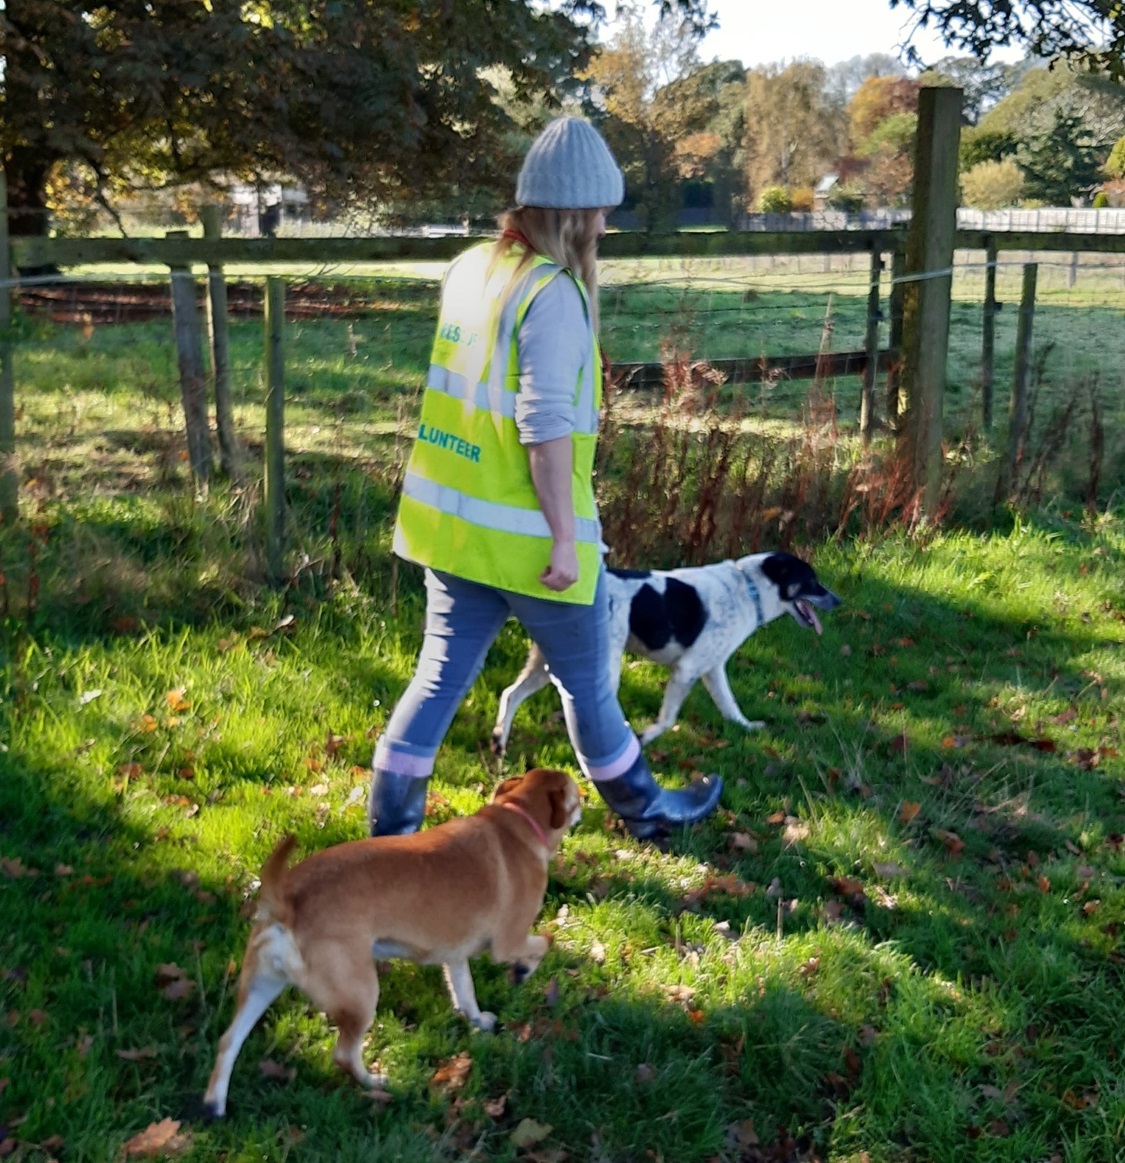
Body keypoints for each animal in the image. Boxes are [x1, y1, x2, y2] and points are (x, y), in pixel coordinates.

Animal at [203, 767, 584, 1111]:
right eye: (576, 795)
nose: (586, 799)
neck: (519, 818)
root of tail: (287, 902)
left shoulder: (455, 955)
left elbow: (465, 991)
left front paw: (477, 1019)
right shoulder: (508, 941)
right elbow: (544, 941)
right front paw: (524, 970)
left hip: (260, 986)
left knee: (228, 1041)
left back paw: (213, 1104)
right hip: (360, 994)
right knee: (343, 1055)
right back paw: (374, 1082)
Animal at [495, 553, 846, 753]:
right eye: (811, 581)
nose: (838, 601)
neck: (749, 590)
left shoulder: (713, 670)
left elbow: (730, 706)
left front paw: (747, 728)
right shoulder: (687, 670)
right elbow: (666, 721)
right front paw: (644, 737)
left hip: (545, 664)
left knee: (510, 694)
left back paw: (499, 743)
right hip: (599, 668)